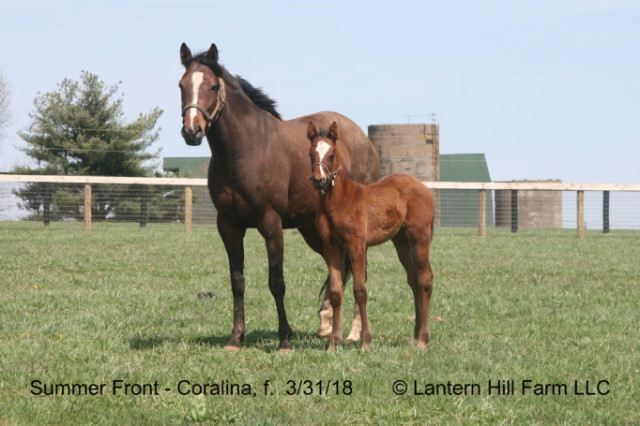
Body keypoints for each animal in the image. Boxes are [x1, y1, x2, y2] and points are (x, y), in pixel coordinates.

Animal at [308, 120, 438, 350]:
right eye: (310, 153)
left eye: (331, 154)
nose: (318, 180)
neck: (339, 201)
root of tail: (423, 187)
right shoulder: (331, 247)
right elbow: (336, 292)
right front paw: (334, 342)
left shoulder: (357, 245)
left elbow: (360, 290)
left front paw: (365, 341)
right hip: (401, 242)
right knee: (413, 280)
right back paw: (415, 336)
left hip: (419, 236)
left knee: (425, 279)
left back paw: (423, 339)